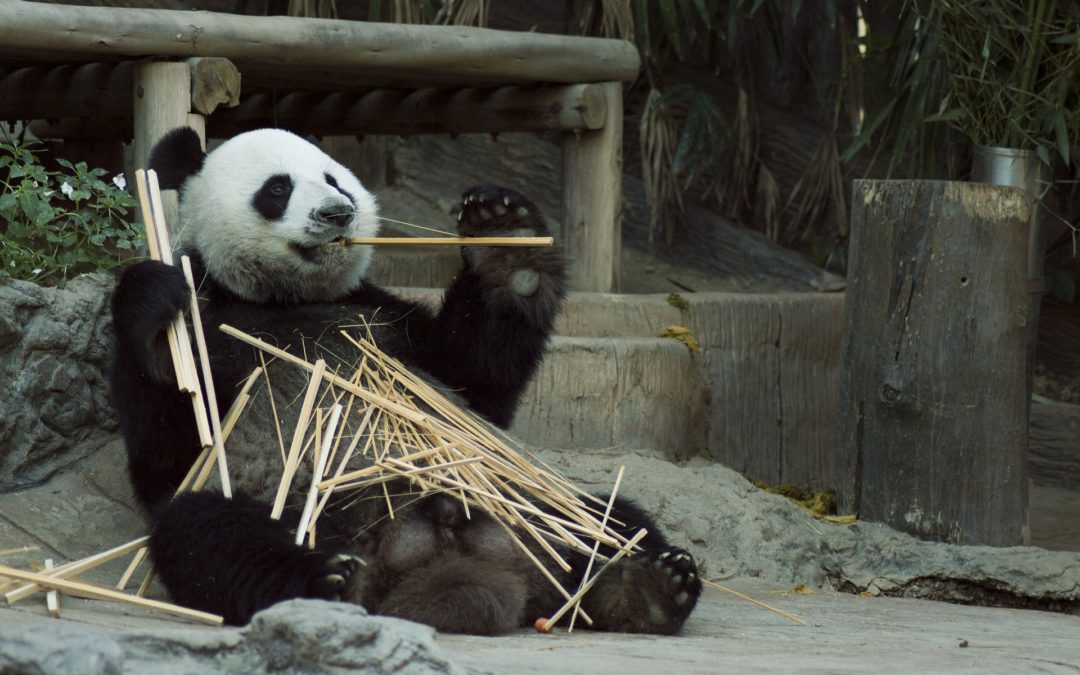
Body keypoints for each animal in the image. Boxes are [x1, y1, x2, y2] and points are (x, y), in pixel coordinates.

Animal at [109, 126, 699, 630]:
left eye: (334, 179)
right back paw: (328, 580)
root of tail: (433, 559)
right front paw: (154, 300)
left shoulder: (382, 319)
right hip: (303, 510)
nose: (337, 213)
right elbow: (168, 453)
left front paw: (505, 234)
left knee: (606, 517)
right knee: (208, 533)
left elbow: (476, 380)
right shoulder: (214, 325)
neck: (285, 298)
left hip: (523, 494)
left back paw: (646, 587)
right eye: (277, 188)